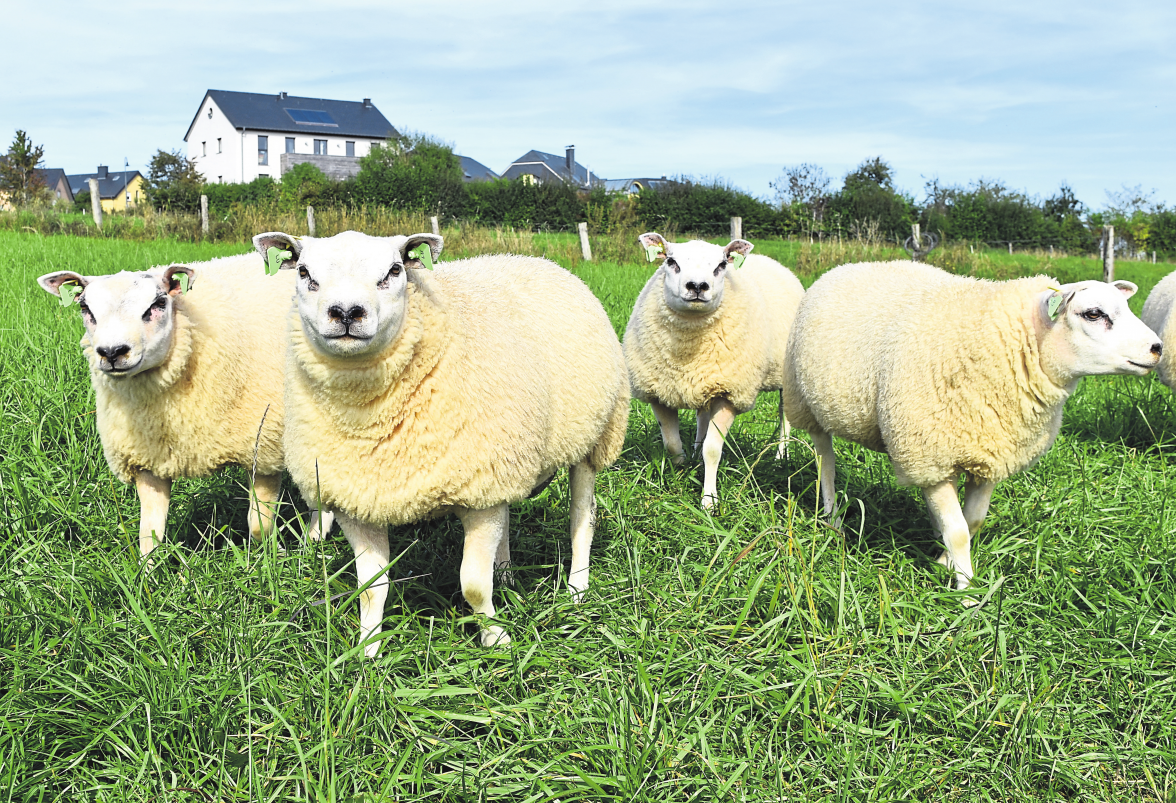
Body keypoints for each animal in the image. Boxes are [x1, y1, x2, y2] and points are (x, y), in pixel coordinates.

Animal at [39, 253, 333, 554]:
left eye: (158, 304)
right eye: (85, 308)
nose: (112, 352)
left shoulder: (263, 448)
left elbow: (258, 525)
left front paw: (269, 556)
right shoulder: (148, 459)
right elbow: (149, 534)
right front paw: (149, 568)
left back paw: (314, 539)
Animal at [252, 229, 630, 658]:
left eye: (394, 270)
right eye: (303, 272)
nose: (346, 312)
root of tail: (535, 259)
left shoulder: (479, 491)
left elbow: (473, 585)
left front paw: (496, 641)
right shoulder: (357, 499)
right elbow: (371, 588)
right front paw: (367, 652)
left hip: (596, 435)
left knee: (582, 518)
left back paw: (576, 589)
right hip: (505, 464)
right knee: (508, 521)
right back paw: (507, 576)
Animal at [620, 232, 804, 507]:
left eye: (721, 265)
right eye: (671, 261)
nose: (697, 286)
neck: (689, 350)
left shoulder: (729, 393)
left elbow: (713, 449)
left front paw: (709, 500)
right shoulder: (659, 392)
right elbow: (672, 443)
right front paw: (681, 472)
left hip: (786, 372)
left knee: (785, 417)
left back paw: (782, 456)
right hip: (706, 381)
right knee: (701, 417)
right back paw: (695, 452)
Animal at [776, 261, 1161, 592]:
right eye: (1094, 313)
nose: (1157, 347)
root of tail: (844, 267)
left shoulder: (991, 452)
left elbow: (972, 521)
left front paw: (945, 562)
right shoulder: (929, 454)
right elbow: (960, 531)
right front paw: (966, 594)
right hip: (806, 401)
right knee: (825, 460)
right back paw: (833, 518)